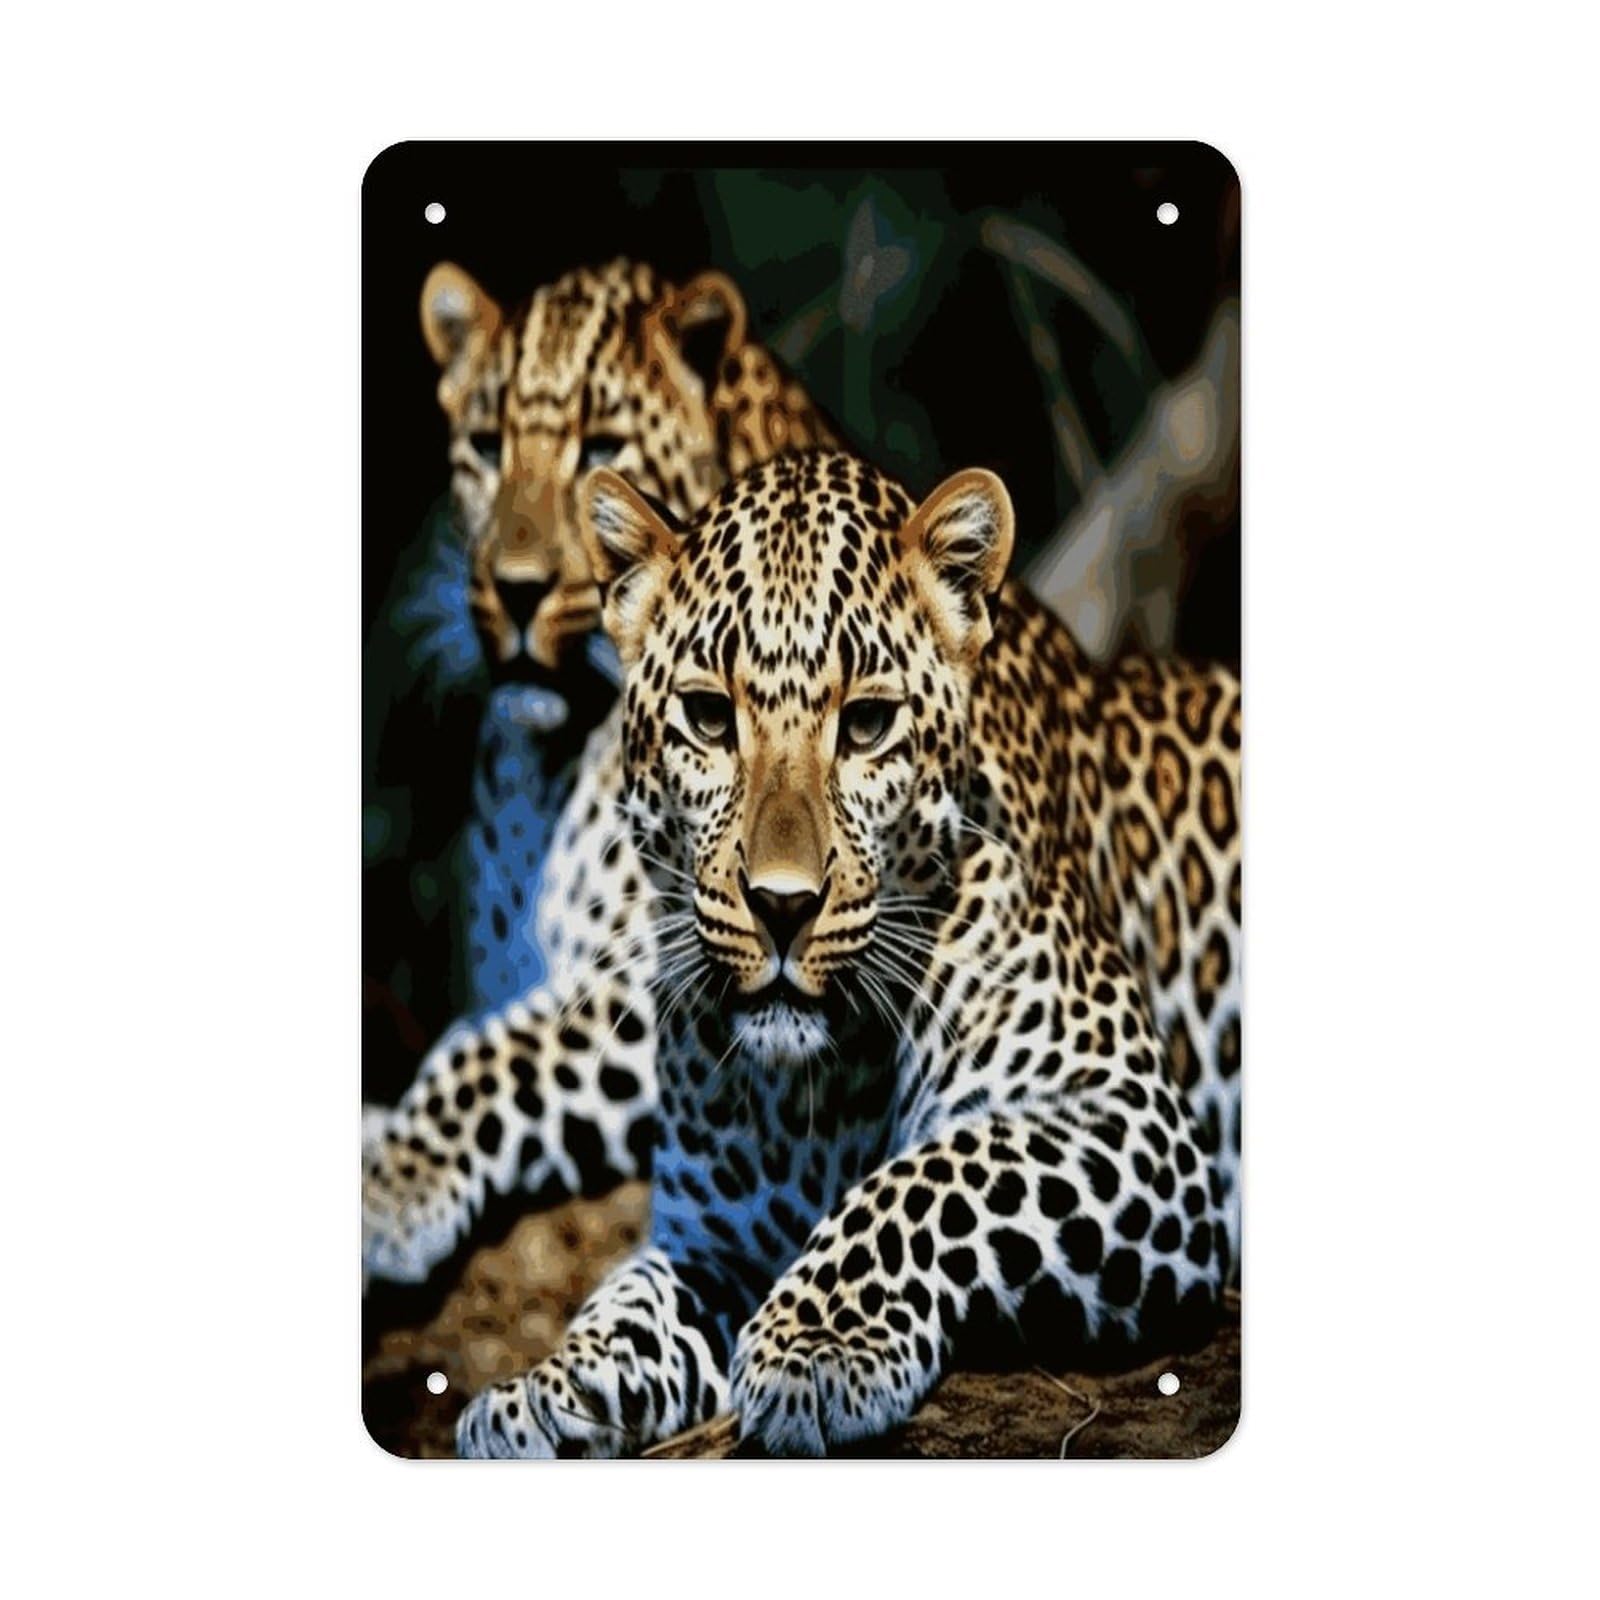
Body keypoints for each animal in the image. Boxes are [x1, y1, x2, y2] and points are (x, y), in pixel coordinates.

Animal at [368, 446, 1241, 1457]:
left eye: (866, 726)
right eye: (709, 719)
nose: (781, 907)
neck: (816, 1093)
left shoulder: (1134, 1121)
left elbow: (933, 1175)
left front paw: (816, 1345)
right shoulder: (713, 1241)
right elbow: (629, 1300)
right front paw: (544, 1390)